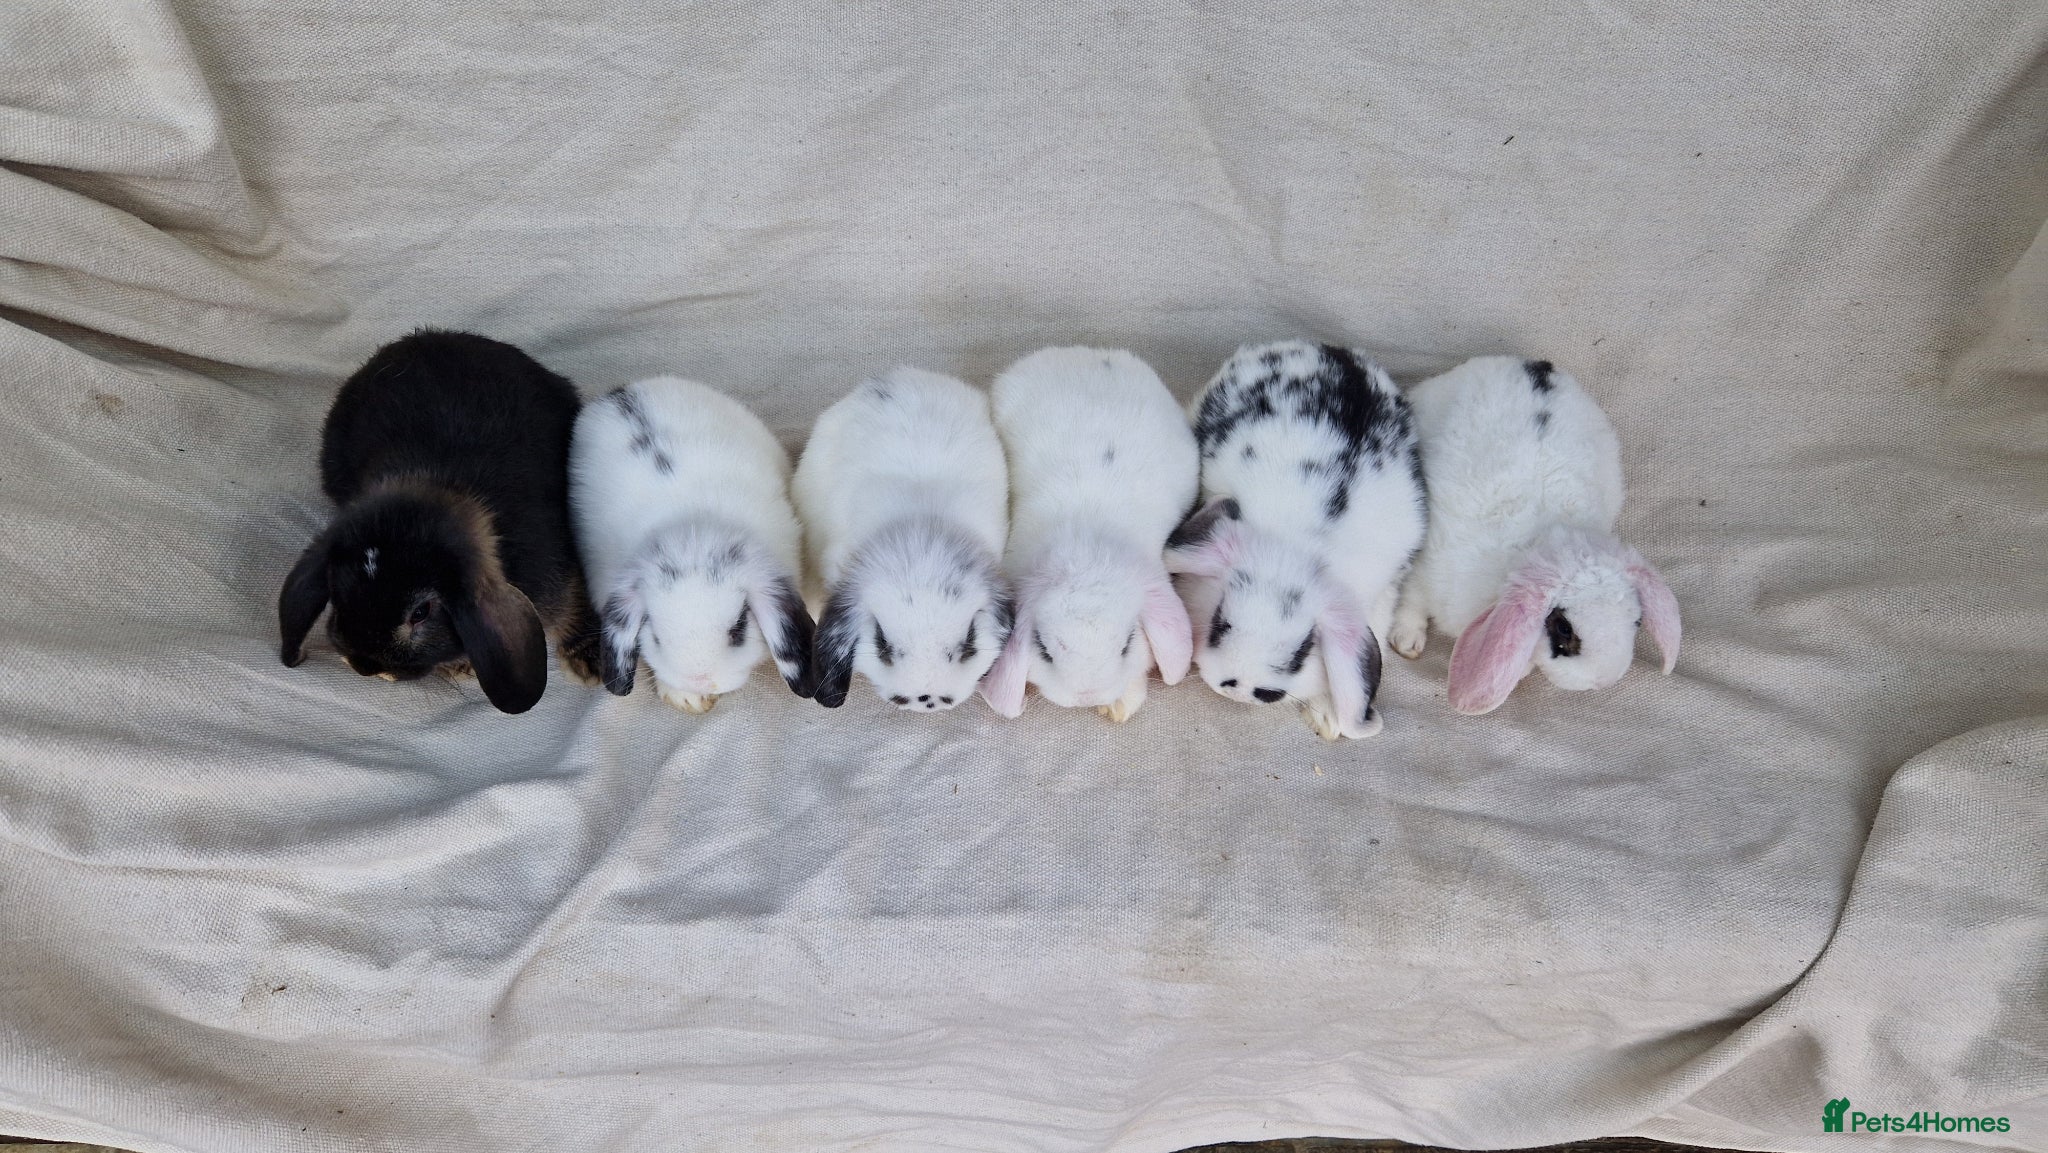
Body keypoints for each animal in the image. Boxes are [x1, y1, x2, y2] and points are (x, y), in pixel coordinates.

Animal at [570, 377, 816, 714]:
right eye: (655, 635)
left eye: (739, 628)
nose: (701, 680)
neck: (694, 533)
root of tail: (622, 392)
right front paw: (685, 698)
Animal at [978, 347, 1197, 722]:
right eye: (1044, 650)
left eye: (1127, 644)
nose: (1086, 697)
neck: (1087, 551)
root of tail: (1088, 353)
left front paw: (1118, 707)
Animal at [1164, 340, 1426, 740]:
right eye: (1220, 622)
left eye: (1305, 649)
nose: (1242, 689)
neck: (1301, 549)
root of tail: (1330, 350)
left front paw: (1329, 719)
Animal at [1387, 356, 1679, 714]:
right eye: (1564, 629)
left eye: (1637, 622)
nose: (1604, 680)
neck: (1531, 546)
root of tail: (1536, 367)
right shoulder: (1425, 566)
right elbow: (1411, 600)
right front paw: (1406, 641)